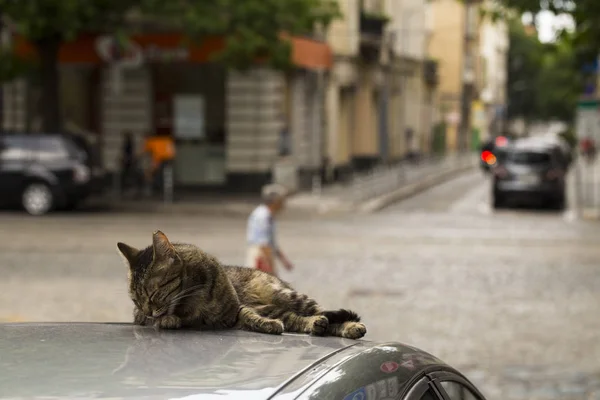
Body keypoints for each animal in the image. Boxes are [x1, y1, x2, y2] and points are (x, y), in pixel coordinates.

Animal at [114, 230, 364, 340]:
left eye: (153, 293)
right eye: (136, 299)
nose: (148, 309)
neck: (189, 298)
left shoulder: (234, 311)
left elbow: (249, 316)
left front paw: (266, 324)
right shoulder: (138, 316)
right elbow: (152, 320)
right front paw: (167, 319)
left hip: (289, 297)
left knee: (320, 313)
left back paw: (349, 326)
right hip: (277, 307)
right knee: (298, 319)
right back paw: (317, 325)